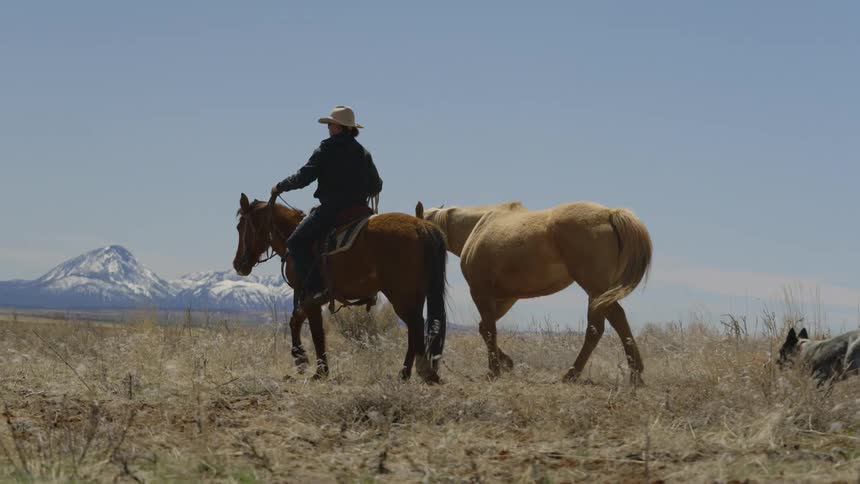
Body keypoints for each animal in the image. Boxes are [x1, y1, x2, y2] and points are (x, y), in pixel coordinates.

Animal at [233, 193, 448, 383]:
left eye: (239, 226)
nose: (238, 264)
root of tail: (421, 226)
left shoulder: (310, 296)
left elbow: (315, 331)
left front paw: (317, 370)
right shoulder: (310, 297)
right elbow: (296, 321)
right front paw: (302, 360)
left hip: (401, 295)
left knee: (415, 326)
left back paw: (413, 372)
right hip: (415, 295)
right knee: (417, 328)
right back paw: (413, 373)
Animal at [415, 200, 652, 384]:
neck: (478, 226)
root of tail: (610, 213)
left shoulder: (481, 292)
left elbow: (489, 330)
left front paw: (494, 370)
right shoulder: (506, 298)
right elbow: (484, 328)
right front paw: (506, 363)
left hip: (594, 290)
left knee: (596, 329)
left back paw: (572, 374)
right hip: (601, 293)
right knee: (618, 320)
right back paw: (635, 375)